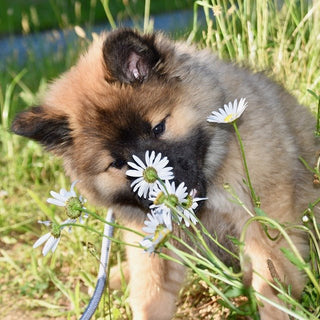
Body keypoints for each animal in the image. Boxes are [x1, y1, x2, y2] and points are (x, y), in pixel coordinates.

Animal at [11, 28, 318, 318]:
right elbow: (151, 296)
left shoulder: (264, 218)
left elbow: (270, 284)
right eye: (117, 163)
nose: (163, 187)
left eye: (158, 128)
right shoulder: (153, 240)